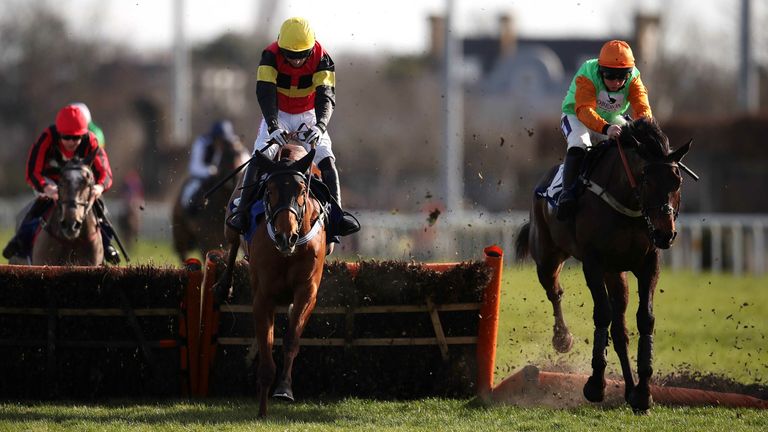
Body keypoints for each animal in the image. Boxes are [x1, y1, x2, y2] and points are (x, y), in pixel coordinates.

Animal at [216, 142, 328, 418]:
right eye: (269, 189)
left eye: (302, 190)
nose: (285, 236)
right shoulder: (263, 296)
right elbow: (265, 344)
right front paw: (262, 407)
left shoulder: (307, 290)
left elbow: (291, 339)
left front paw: (284, 389)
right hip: (230, 225)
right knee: (233, 242)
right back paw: (223, 286)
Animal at [516, 117, 688, 412]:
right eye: (646, 178)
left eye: (676, 181)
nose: (666, 234)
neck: (627, 205)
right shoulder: (593, 263)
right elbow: (602, 315)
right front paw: (596, 384)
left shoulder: (648, 263)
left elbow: (645, 319)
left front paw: (643, 392)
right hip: (548, 257)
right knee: (555, 292)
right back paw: (562, 338)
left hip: (616, 273)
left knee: (620, 331)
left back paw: (630, 389)